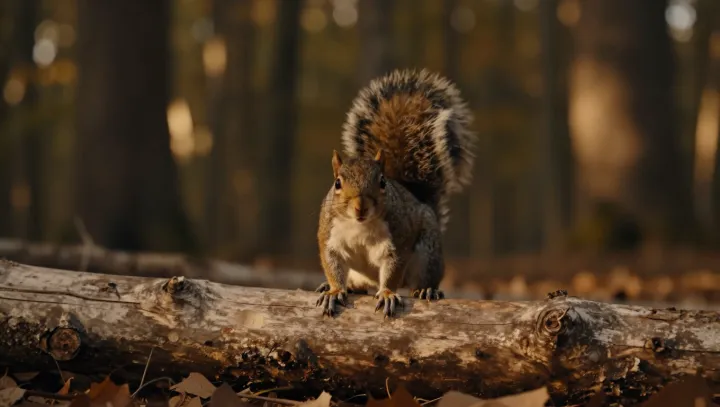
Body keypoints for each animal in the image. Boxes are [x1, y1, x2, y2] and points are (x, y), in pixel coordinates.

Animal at [315, 69, 476, 318]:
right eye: (337, 183)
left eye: (382, 182)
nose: (361, 206)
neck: (359, 225)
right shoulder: (330, 238)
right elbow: (332, 264)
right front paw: (334, 290)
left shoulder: (398, 242)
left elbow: (392, 271)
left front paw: (388, 294)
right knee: (359, 283)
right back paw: (346, 286)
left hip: (427, 253)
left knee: (422, 278)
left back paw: (427, 290)